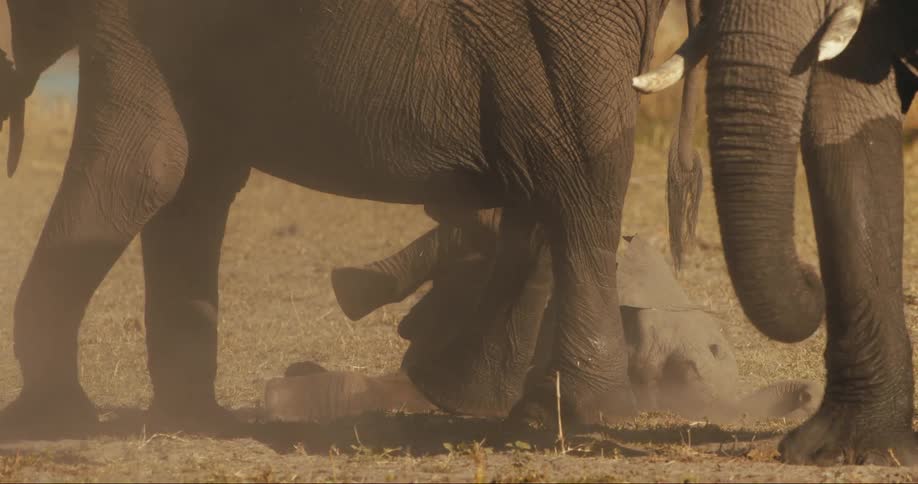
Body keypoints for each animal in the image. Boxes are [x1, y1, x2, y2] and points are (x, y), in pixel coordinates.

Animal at [0, 0, 707, 437]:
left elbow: (147, 166)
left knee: (570, 183)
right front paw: (185, 422)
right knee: (551, 188)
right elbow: (189, 178)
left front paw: (53, 423)